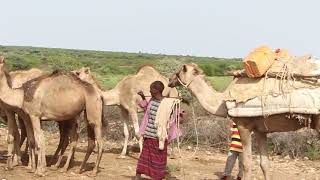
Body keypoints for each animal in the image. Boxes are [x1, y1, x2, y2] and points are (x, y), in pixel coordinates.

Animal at [168, 62, 320, 179]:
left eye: (178, 72)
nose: (169, 80)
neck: (222, 101)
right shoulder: (261, 130)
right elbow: (264, 163)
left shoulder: (244, 125)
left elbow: (246, 163)